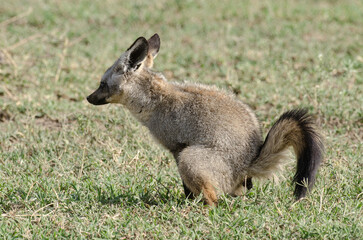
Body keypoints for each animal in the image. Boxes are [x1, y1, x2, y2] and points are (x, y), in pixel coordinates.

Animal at [87, 33, 324, 206]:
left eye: (101, 84)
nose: (88, 98)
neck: (156, 99)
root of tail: (249, 162)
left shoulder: (178, 149)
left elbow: (185, 185)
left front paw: (187, 200)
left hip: (190, 158)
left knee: (215, 199)